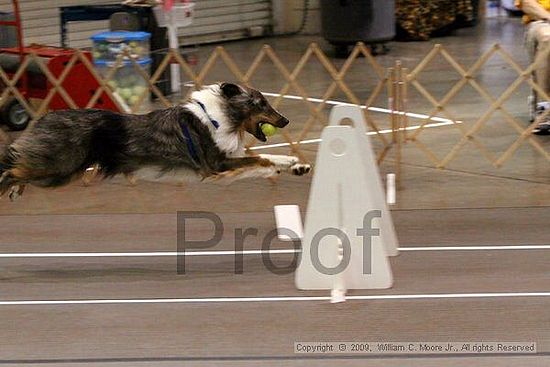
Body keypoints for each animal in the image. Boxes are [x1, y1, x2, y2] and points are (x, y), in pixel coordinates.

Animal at [0, 82, 310, 201]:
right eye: (261, 104)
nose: (285, 121)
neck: (220, 115)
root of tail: (43, 117)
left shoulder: (224, 163)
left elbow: (265, 161)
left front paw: (296, 165)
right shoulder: (216, 164)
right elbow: (261, 158)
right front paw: (290, 162)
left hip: (59, 171)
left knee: (18, 168)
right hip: (60, 167)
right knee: (12, 169)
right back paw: (7, 187)